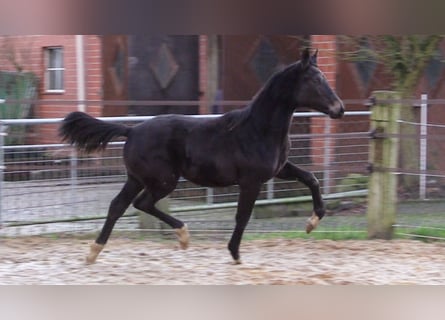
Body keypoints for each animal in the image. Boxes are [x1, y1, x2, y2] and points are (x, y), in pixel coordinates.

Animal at [59, 48, 344, 264]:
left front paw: (312, 222)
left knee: (119, 206)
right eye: (315, 80)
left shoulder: (279, 169)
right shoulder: (251, 181)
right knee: (142, 203)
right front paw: (235, 254)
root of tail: (132, 130)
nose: (339, 109)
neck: (257, 129)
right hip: (163, 181)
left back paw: (94, 252)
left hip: (137, 178)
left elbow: (311, 178)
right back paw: (183, 235)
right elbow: (243, 216)